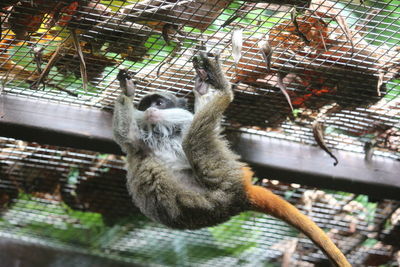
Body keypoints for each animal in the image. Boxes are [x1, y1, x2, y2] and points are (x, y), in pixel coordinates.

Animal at [111, 52, 350, 267]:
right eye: (146, 105)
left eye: (160, 103)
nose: (150, 109)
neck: (165, 135)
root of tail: (240, 198)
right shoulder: (139, 143)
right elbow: (125, 135)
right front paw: (127, 91)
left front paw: (202, 89)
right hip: (224, 182)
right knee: (193, 140)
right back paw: (223, 92)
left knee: (192, 140)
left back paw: (218, 90)